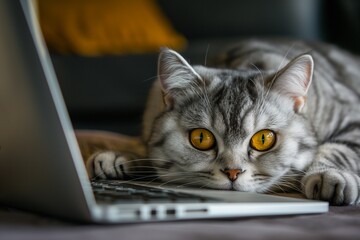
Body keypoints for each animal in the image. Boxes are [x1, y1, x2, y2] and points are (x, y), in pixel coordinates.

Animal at [86, 39, 360, 206]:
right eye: (201, 138)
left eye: (263, 139)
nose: (233, 172)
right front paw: (122, 156)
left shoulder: (351, 117)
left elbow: (338, 149)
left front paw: (329, 176)